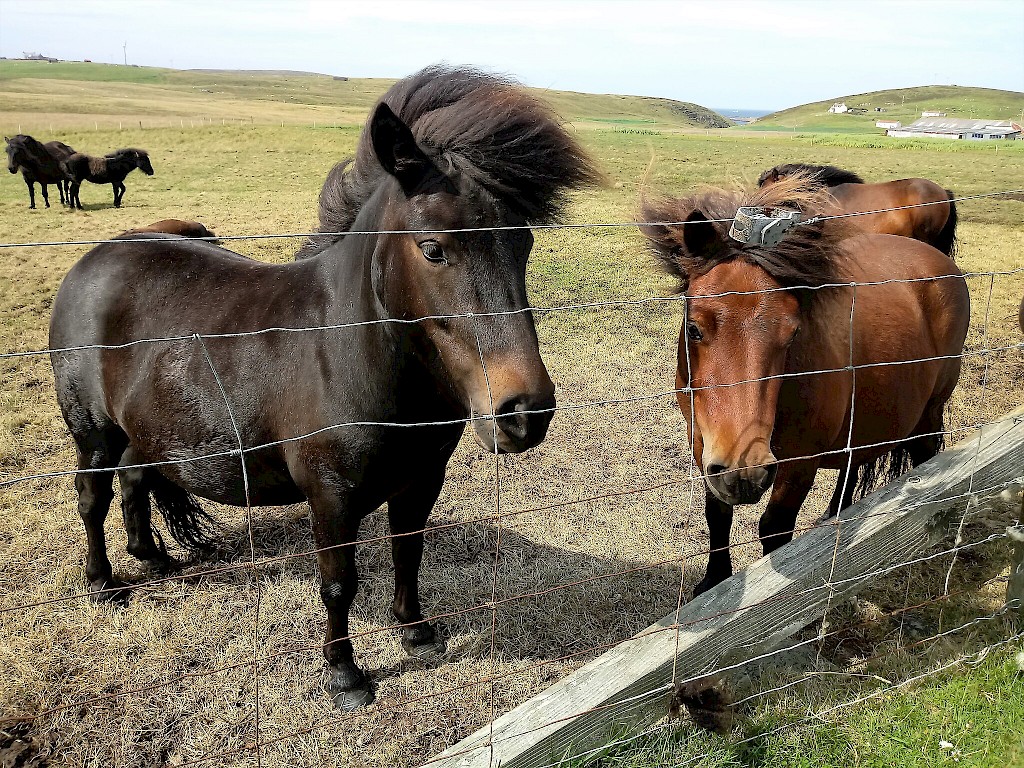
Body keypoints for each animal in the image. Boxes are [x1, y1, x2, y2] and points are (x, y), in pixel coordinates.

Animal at [49, 65, 599, 710]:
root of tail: (94, 259)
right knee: (93, 496)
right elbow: (338, 582)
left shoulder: (421, 479)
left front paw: (415, 631)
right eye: (433, 249)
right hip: (93, 432)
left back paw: (153, 558)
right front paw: (344, 674)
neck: (349, 353)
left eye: (524, 242)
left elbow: (408, 551)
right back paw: (103, 584)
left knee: (137, 477)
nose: (525, 411)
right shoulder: (331, 494)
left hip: (147, 427)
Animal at [641, 175, 969, 594]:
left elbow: (775, 531)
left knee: (925, 457)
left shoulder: (798, 466)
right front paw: (713, 581)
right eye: (694, 327)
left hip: (929, 413)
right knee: (850, 470)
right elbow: (717, 513)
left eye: (793, 333)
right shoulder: (703, 445)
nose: (744, 470)